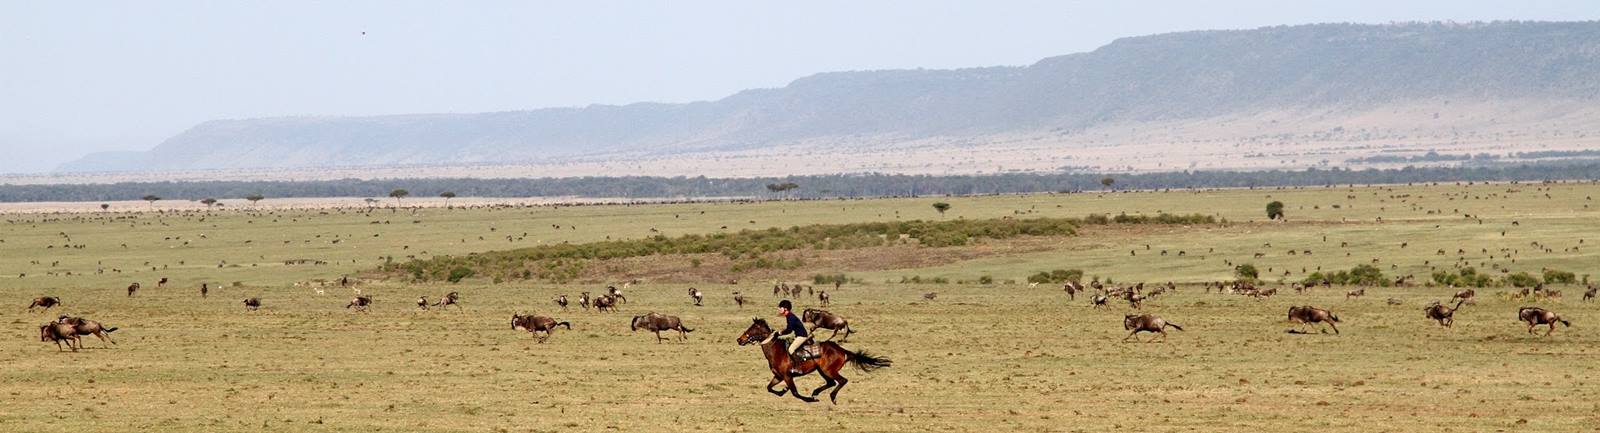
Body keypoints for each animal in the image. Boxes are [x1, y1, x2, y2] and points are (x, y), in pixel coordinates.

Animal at [736, 318, 891, 404]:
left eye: (755, 327)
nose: (739, 339)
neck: (776, 350)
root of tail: (842, 350)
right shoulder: (778, 376)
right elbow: (769, 388)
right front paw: (782, 391)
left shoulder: (787, 376)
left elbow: (795, 393)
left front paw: (809, 400)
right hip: (822, 370)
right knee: (831, 382)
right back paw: (816, 392)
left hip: (829, 370)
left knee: (842, 381)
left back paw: (831, 397)